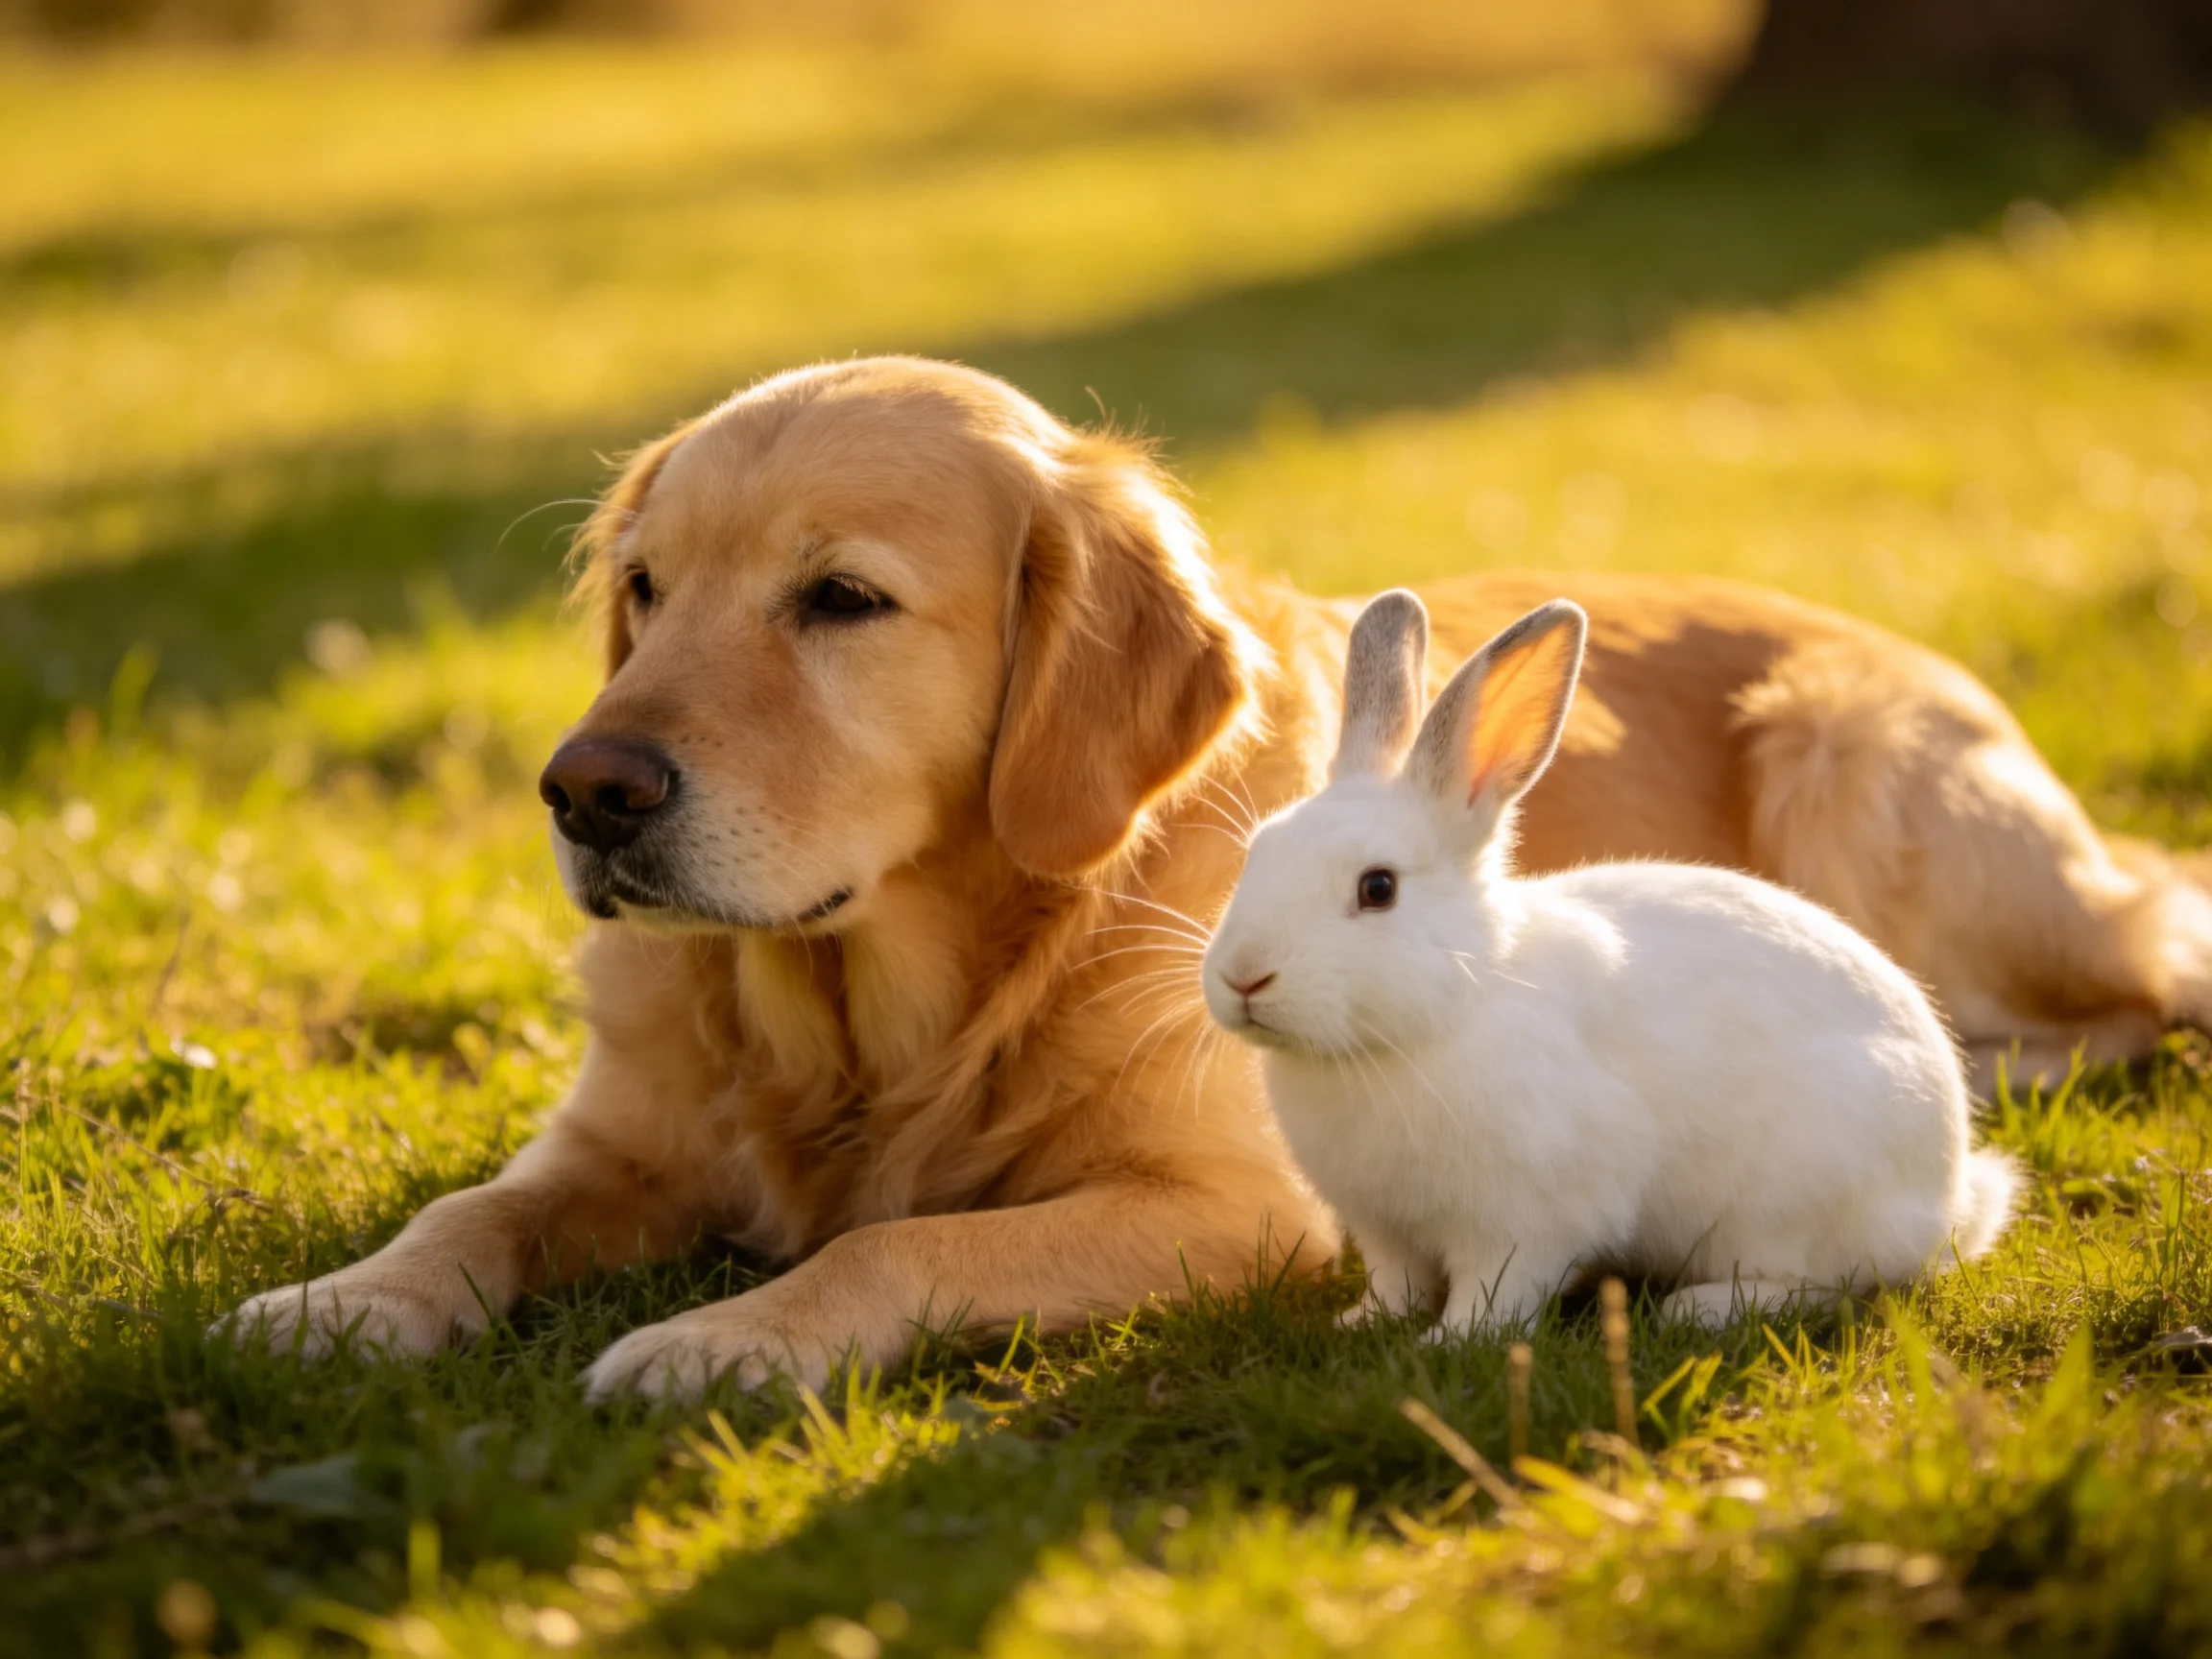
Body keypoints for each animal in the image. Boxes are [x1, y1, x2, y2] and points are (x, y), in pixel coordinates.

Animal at [1201, 589, 2017, 1335]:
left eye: (1378, 889)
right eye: (1258, 851)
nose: (1244, 977)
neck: (1444, 1011)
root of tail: (1950, 1194)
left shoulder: (1530, 1217)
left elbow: (1498, 1290)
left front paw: (1450, 1342)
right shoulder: (1384, 1228)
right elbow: (1395, 1283)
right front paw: (1360, 1324)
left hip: (1799, 1204)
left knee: (1833, 1284)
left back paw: (1697, 1309)